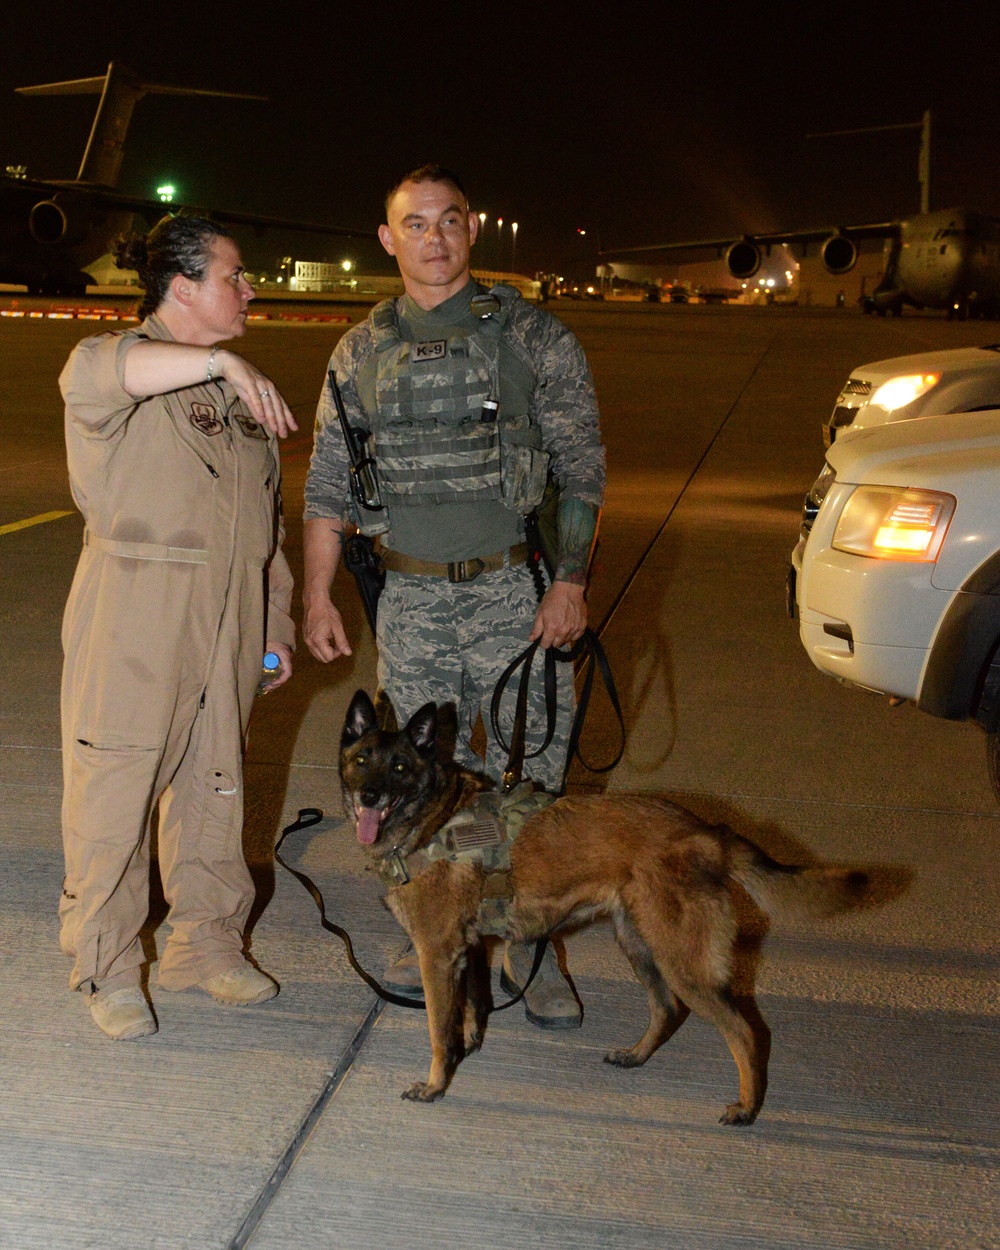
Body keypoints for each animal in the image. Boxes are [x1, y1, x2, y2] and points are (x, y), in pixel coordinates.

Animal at [342, 690, 865, 1130]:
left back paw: (748, 1107)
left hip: (681, 963)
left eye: (401, 767)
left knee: (745, 1031)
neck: (430, 818)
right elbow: (471, 1006)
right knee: (666, 1009)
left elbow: (437, 1028)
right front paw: (466, 1049)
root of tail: (707, 834)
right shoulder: (464, 949)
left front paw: (435, 1085)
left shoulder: (436, 954)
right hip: (639, 945)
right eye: (362, 760)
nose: (369, 796)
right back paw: (637, 1056)